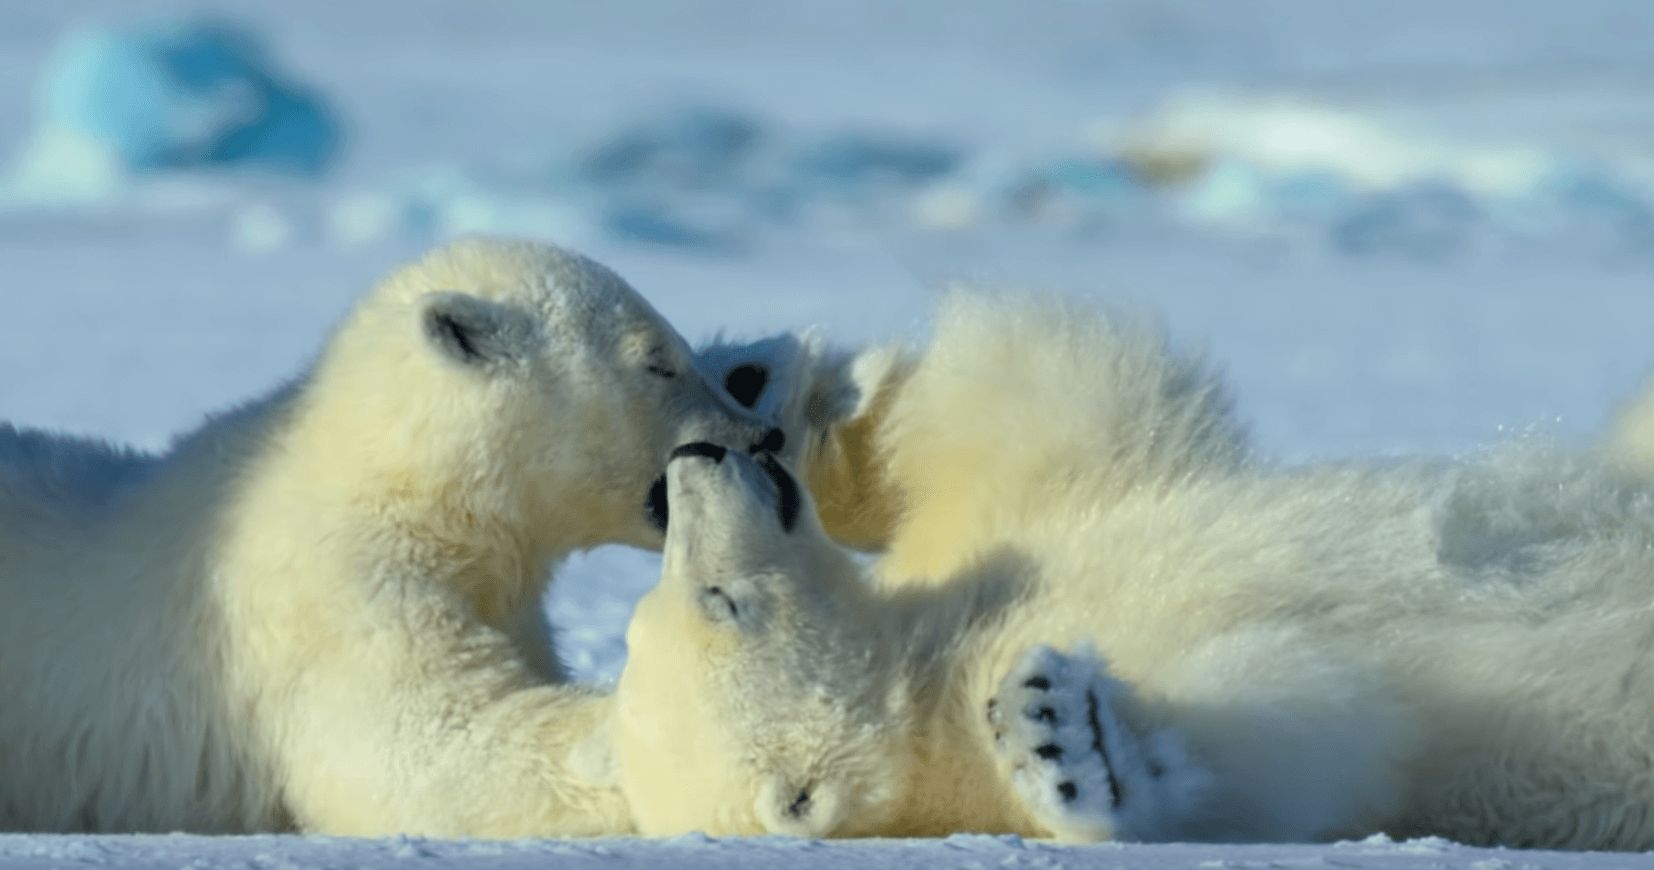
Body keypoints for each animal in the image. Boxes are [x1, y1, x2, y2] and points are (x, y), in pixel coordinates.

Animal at [614, 289, 1654, 850]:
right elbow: (1303, 730)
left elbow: (1045, 397)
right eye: (720, 600)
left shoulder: (1023, 525)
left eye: (660, 608)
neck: (931, 677)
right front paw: (1063, 737)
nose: (693, 464)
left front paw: (760, 386)